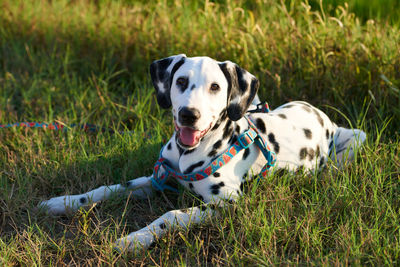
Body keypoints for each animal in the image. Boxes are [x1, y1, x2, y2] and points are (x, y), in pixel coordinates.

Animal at [39, 54, 366, 253]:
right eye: (181, 81)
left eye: (215, 87)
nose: (189, 115)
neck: (190, 153)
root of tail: (325, 119)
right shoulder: (157, 179)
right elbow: (109, 188)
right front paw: (64, 202)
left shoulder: (227, 204)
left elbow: (171, 216)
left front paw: (134, 239)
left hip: (355, 139)